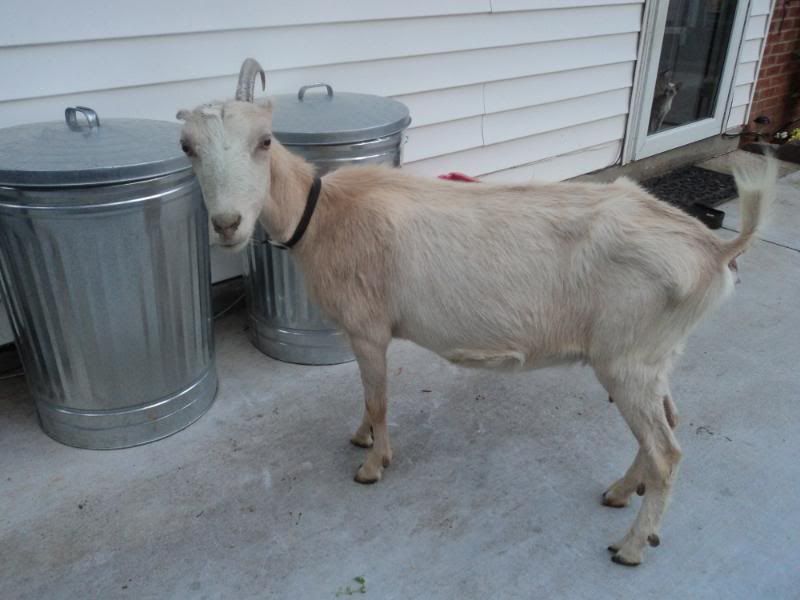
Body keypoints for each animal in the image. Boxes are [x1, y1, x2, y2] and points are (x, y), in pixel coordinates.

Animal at [178, 58, 776, 566]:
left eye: (264, 141)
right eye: (187, 148)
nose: (227, 224)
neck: (324, 213)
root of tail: (716, 249)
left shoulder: (368, 329)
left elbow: (377, 397)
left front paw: (372, 464)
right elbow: (369, 400)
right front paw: (362, 437)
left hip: (628, 359)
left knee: (667, 451)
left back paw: (630, 546)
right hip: (656, 355)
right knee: (666, 425)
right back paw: (623, 493)